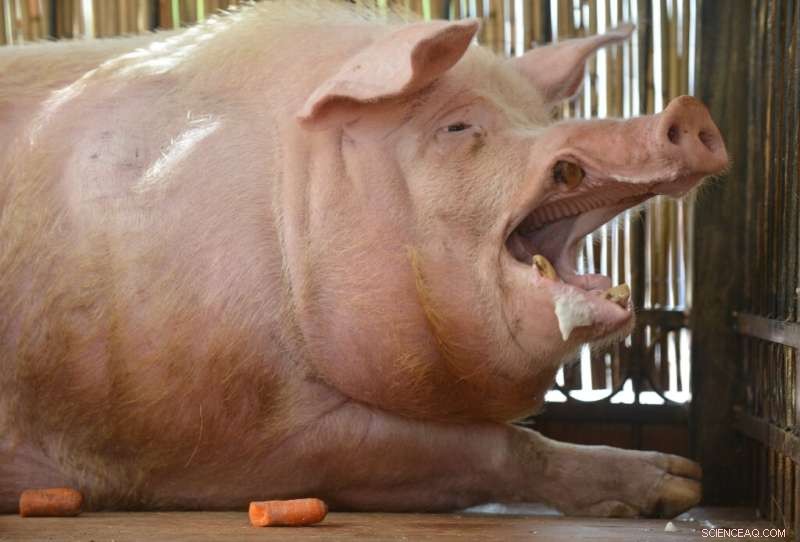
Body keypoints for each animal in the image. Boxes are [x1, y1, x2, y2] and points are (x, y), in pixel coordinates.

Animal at [0, 1, 728, 516]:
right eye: (458, 128)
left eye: (536, 117)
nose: (687, 110)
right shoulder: (214, 438)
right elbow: (492, 444)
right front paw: (683, 486)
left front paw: (683, 486)